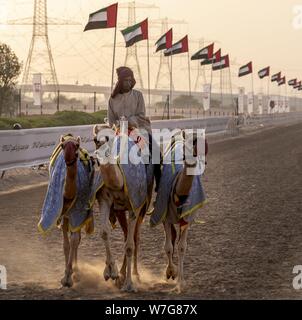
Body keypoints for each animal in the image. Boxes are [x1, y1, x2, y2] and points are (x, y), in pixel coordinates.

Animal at [92, 123, 153, 292]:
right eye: (95, 139)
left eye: (110, 137)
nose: (100, 153)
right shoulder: (105, 200)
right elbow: (104, 232)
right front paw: (110, 272)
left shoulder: (135, 205)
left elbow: (130, 245)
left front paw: (129, 285)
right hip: (119, 210)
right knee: (126, 236)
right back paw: (121, 274)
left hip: (143, 206)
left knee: (135, 237)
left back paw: (136, 275)